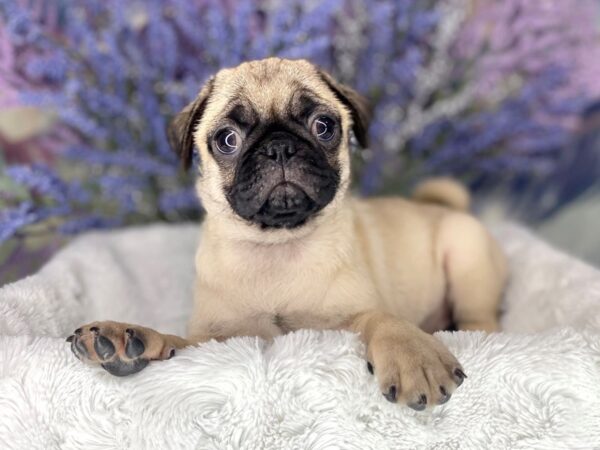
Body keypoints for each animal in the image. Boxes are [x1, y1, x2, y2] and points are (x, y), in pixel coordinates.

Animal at [67, 58, 506, 410]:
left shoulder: (348, 317)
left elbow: (383, 320)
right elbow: (177, 341)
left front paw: (414, 354)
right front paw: (127, 340)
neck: (276, 247)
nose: (279, 147)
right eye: (227, 139)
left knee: (482, 320)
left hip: (466, 257)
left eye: (324, 126)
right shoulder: (221, 339)